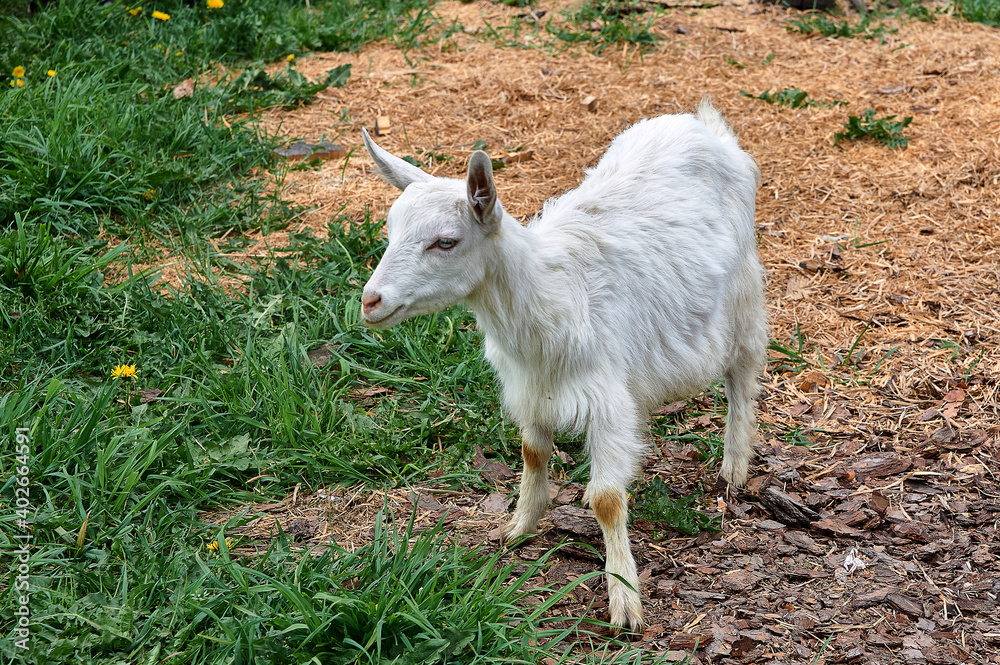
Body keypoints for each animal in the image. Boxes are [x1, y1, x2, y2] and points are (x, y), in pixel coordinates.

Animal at [358, 99, 767, 632]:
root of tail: (703, 126)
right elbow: (532, 453)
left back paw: (734, 467)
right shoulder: (531, 387)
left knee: (742, 376)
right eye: (390, 231)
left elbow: (607, 500)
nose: (370, 301)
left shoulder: (605, 399)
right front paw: (518, 527)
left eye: (445, 241)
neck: (552, 294)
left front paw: (624, 600)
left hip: (743, 296)